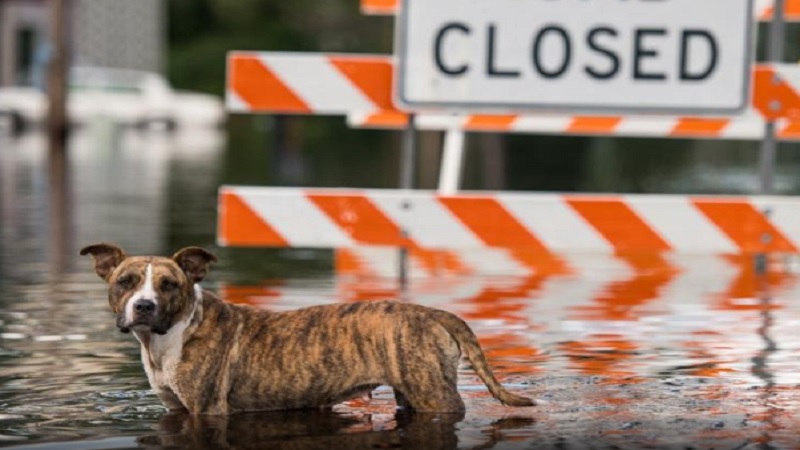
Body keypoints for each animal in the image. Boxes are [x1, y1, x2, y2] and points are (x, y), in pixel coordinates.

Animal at [81, 243, 536, 414]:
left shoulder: (208, 410)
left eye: (169, 285)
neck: (168, 337)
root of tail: (435, 313)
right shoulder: (176, 408)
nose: (143, 306)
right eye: (125, 281)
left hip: (433, 395)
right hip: (412, 391)